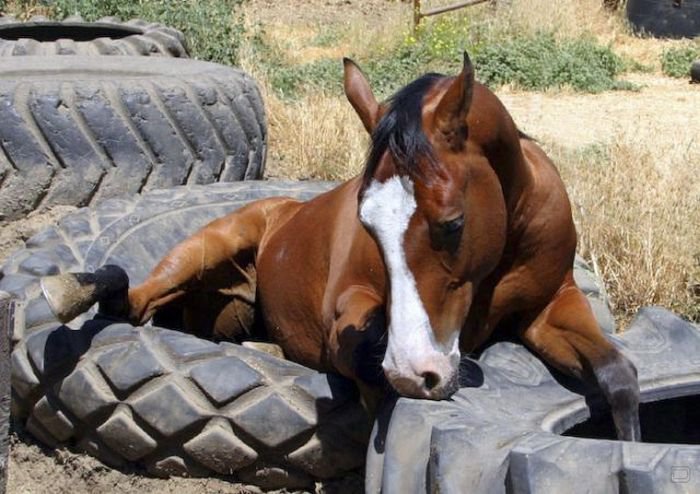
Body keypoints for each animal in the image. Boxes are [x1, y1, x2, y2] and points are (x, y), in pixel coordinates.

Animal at [121, 53, 640, 440]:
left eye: (452, 223)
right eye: (367, 224)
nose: (417, 372)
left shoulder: (549, 307)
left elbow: (619, 374)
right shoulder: (350, 306)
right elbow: (360, 355)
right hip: (199, 254)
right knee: (137, 301)